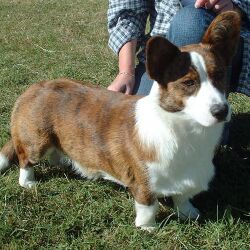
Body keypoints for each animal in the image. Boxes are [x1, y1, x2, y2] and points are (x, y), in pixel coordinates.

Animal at [0, 11, 241, 230]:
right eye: (189, 83)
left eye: (220, 75)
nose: (221, 111)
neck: (186, 130)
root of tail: (32, 89)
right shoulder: (144, 183)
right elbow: (148, 207)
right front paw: (148, 228)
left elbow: (182, 197)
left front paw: (189, 213)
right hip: (36, 141)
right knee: (25, 160)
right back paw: (28, 182)